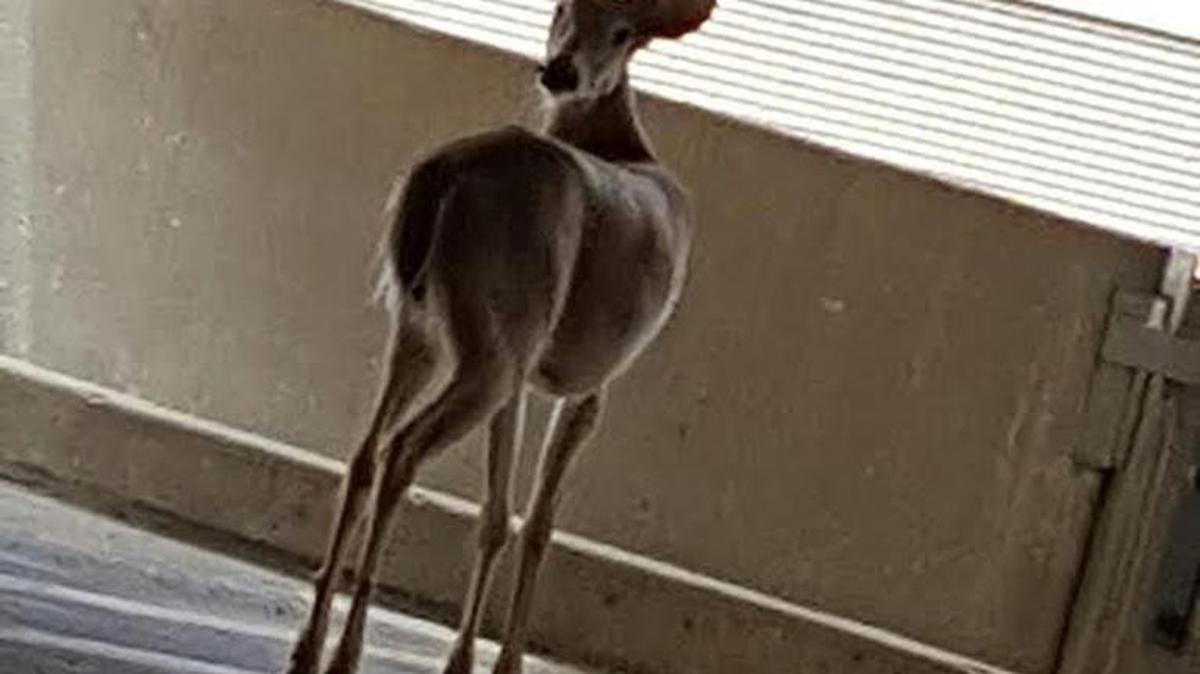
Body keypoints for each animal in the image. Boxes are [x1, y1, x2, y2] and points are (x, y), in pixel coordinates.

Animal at [284, 1, 715, 672]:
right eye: (564, 5)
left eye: (623, 32)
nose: (562, 70)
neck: (624, 146)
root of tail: (444, 173)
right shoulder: (593, 383)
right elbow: (538, 525)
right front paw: (505, 660)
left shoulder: (523, 364)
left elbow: (496, 515)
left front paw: (462, 660)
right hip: (492, 343)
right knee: (403, 450)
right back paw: (345, 652)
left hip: (430, 327)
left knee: (364, 453)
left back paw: (308, 646)